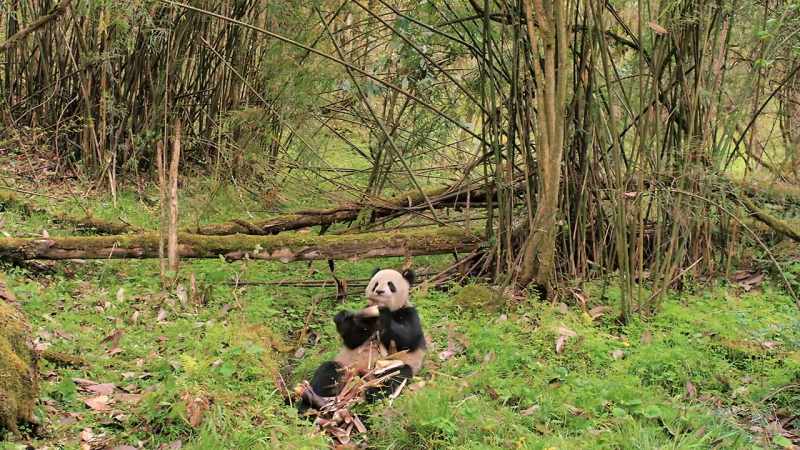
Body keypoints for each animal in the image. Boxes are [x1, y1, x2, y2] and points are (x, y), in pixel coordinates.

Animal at [298, 267, 426, 412]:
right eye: (376, 284)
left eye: (390, 285)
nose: (379, 291)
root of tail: (360, 377)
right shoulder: (364, 317)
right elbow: (353, 340)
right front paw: (344, 317)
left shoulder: (408, 312)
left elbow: (408, 340)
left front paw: (383, 315)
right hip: (346, 366)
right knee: (329, 371)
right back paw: (311, 401)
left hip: (391, 365)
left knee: (395, 375)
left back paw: (371, 395)